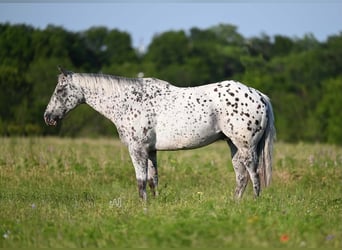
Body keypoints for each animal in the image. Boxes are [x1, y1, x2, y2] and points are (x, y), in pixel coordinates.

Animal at [44, 67, 276, 200]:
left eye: (60, 90)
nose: (48, 117)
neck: (128, 101)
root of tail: (259, 95)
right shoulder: (151, 151)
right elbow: (152, 180)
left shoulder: (137, 150)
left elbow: (140, 181)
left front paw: (143, 207)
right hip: (233, 145)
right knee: (241, 177)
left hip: (246, 147)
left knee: (254, 174)